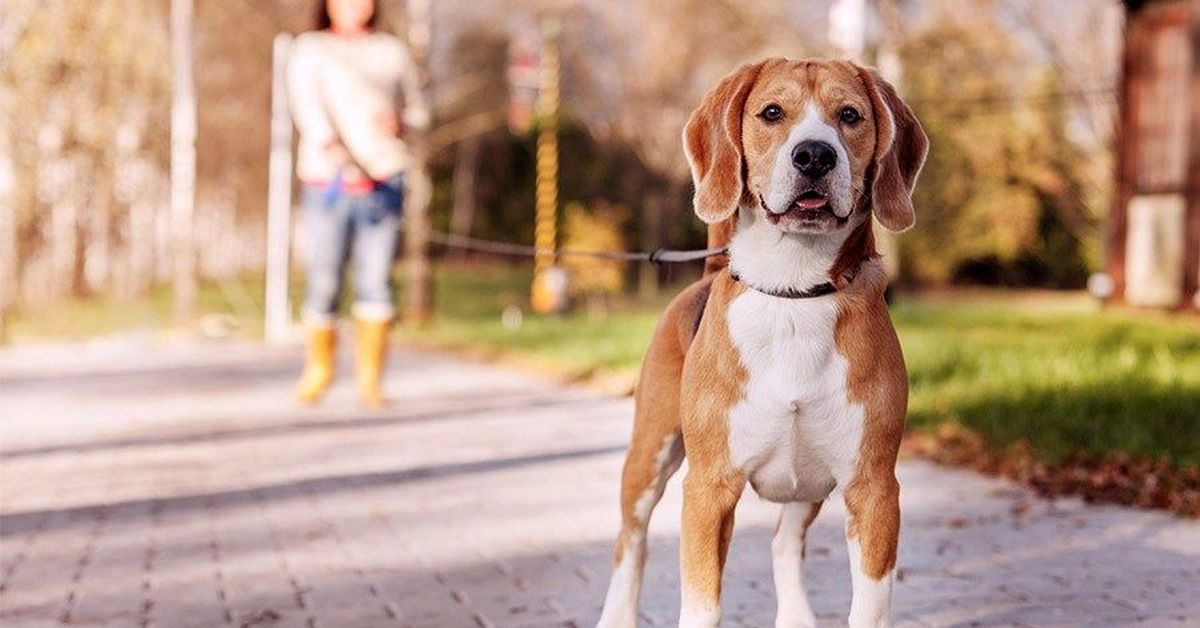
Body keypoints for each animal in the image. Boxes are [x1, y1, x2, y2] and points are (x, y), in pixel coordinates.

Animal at [597, 58, 926, 628]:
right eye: (772, 113)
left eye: (850, 115)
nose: (815, 154)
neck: (793, 292)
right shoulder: (708, 490)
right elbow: (701, 605)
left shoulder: (874, 490)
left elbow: (869, 605)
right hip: (648, 457)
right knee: (630, 544)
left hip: (809, 483)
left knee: (783, 543)